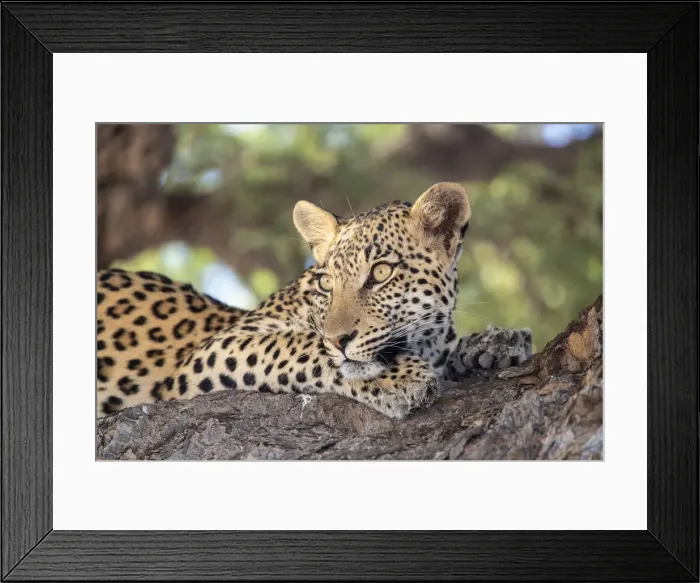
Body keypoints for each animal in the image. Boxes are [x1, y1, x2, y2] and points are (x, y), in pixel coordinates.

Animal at [97, 182, 532, 419]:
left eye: (380, 273)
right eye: (326, 282)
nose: (340, 339)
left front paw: (496, 343)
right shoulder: (214, 351)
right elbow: (296, 345)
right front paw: (399, 378)